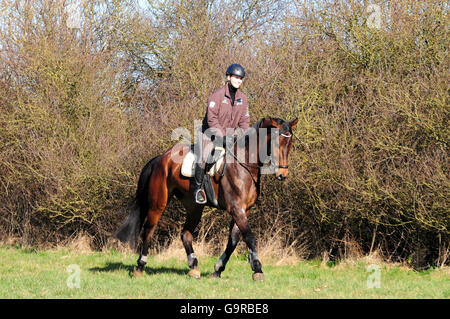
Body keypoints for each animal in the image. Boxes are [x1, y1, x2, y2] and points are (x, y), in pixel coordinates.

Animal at [116, 117, 298, 282]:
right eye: (276, 143)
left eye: (290, 144)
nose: (282, 175)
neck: (244, 165)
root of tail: (160, 158)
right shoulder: (236, 209)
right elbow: (249, 237)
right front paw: (258, 269)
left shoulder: (243, 210)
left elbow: (233, 241)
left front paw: (218, 269)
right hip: (158, 203)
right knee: (149, 230)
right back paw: (140, 266)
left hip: (194, 207)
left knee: (185, 234)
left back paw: (194, 266)